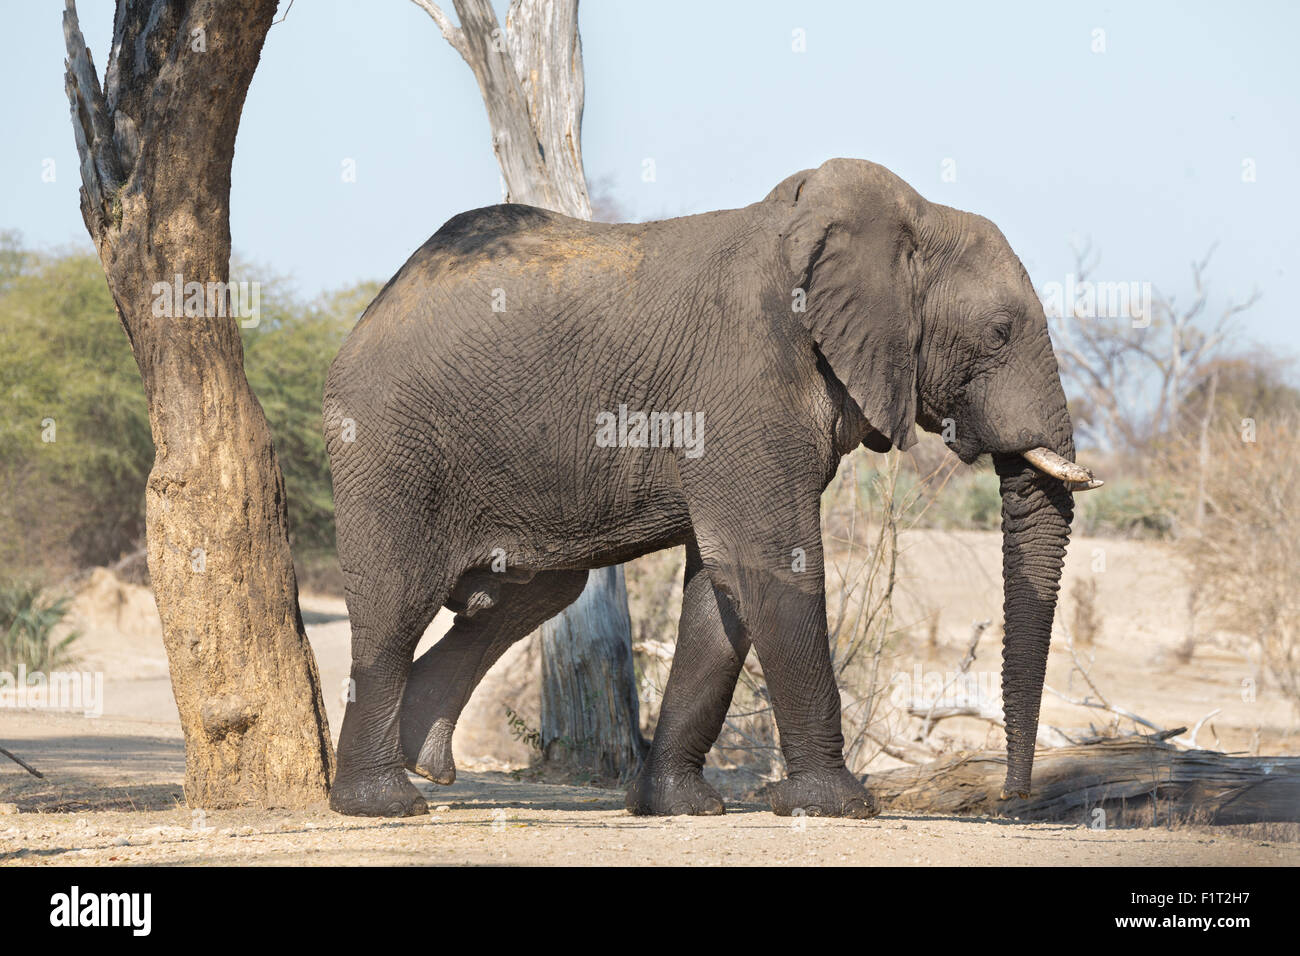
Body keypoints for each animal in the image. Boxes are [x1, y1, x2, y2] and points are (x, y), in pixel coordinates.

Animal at [322, 160, 1097, 816]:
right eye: (1000, 333)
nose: (1012, 799)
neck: (909, 217)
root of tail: (373, 310)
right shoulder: (745, 379)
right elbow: (771, 564)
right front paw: (839, 805)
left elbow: (720, 591)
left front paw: (679, 807)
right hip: (391, 443)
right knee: (397, 600)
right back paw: (384, 802)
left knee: (530, 595)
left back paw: (423, 758)